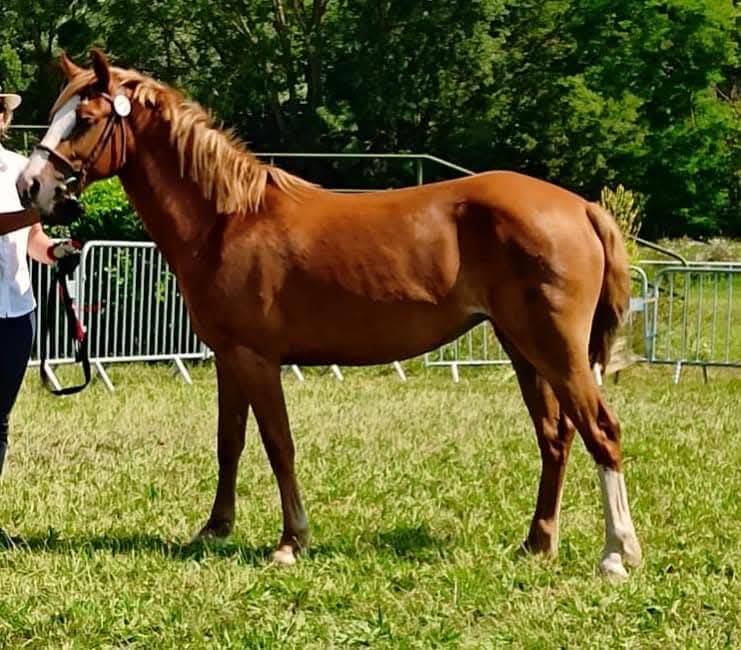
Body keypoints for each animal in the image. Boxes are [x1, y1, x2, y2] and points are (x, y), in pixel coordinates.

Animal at [18, 50, 642, 578]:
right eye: (53, 115)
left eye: (85, 118)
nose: (30, 186)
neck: (228, 219)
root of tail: (582, 207)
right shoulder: (229, 359)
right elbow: (229, 442)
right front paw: (215, 529)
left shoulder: (258, 360)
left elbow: (278, 444)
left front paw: (291, 541)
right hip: (522, 348)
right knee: (555, 437)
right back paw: (537, 543)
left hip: (557, 350)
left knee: (601, 432)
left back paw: (616, 554)